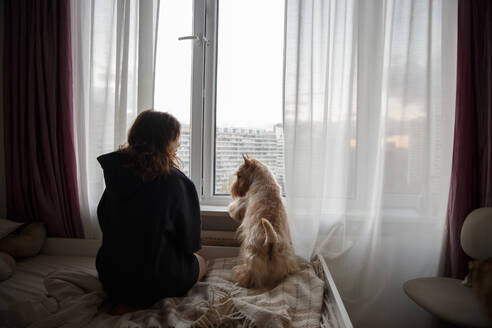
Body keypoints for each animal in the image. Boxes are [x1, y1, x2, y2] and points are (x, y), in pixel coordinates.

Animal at [228, 154, 300, 288]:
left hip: (250, 257)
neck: (264, 179)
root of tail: (271, 241)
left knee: (247, 274)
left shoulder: (245, 201)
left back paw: (240, 281)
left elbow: (237, 207)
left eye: (239, 175)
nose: (233, 190)